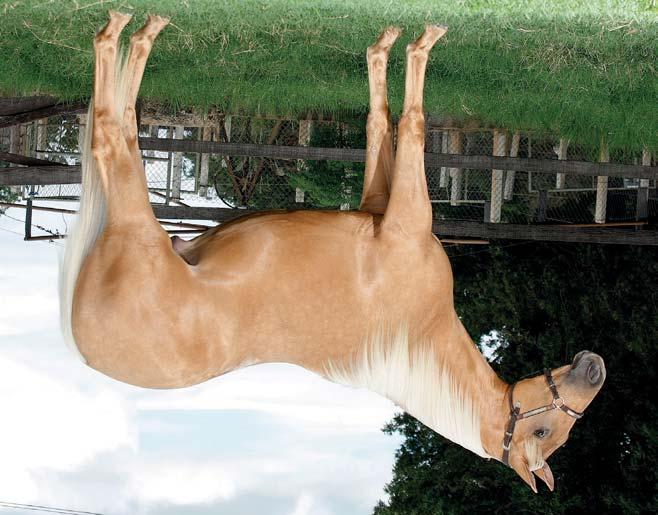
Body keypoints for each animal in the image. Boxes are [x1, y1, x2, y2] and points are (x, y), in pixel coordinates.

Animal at [59, 12, 604, 494]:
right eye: (544, 431)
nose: (594, 366)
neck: (418, 333)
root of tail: (82, 349)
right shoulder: (390, 210)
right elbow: (391, 122)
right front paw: (398, 44)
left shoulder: (397, 215)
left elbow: (398, 122)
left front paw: (406, 44)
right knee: (114, 129)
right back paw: (135, 32)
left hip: (139, 226)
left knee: (112, 133)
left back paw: (131, 31)